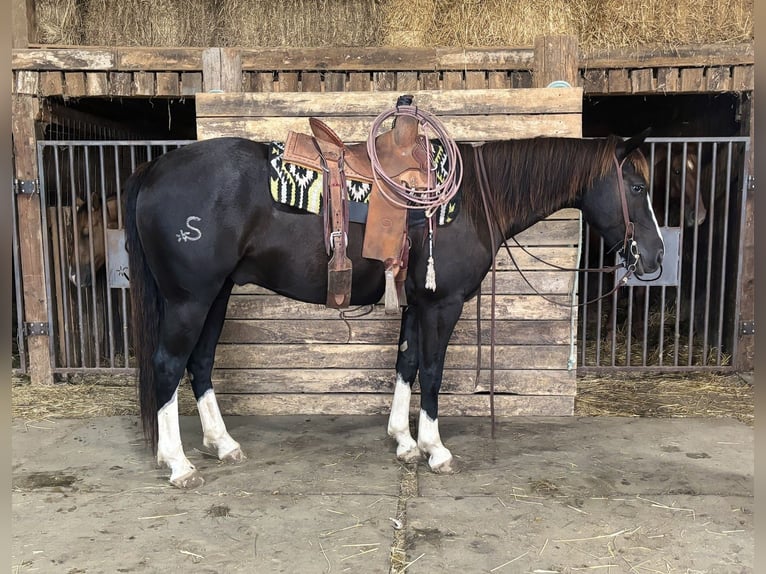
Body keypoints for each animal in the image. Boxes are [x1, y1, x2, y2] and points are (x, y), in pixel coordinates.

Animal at [124, 130, 664, 488]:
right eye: (637, 188)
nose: (656, 257)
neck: (469, 199)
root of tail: (155, 169)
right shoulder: (442, 305)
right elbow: (432, 371)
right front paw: (435, 450)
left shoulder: (416, 304)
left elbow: (406, 364)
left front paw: (403, 442)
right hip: (190, 299)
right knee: (168, 365)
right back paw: (178, 463)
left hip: (215, 296)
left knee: (199, 364)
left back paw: (222, 444)